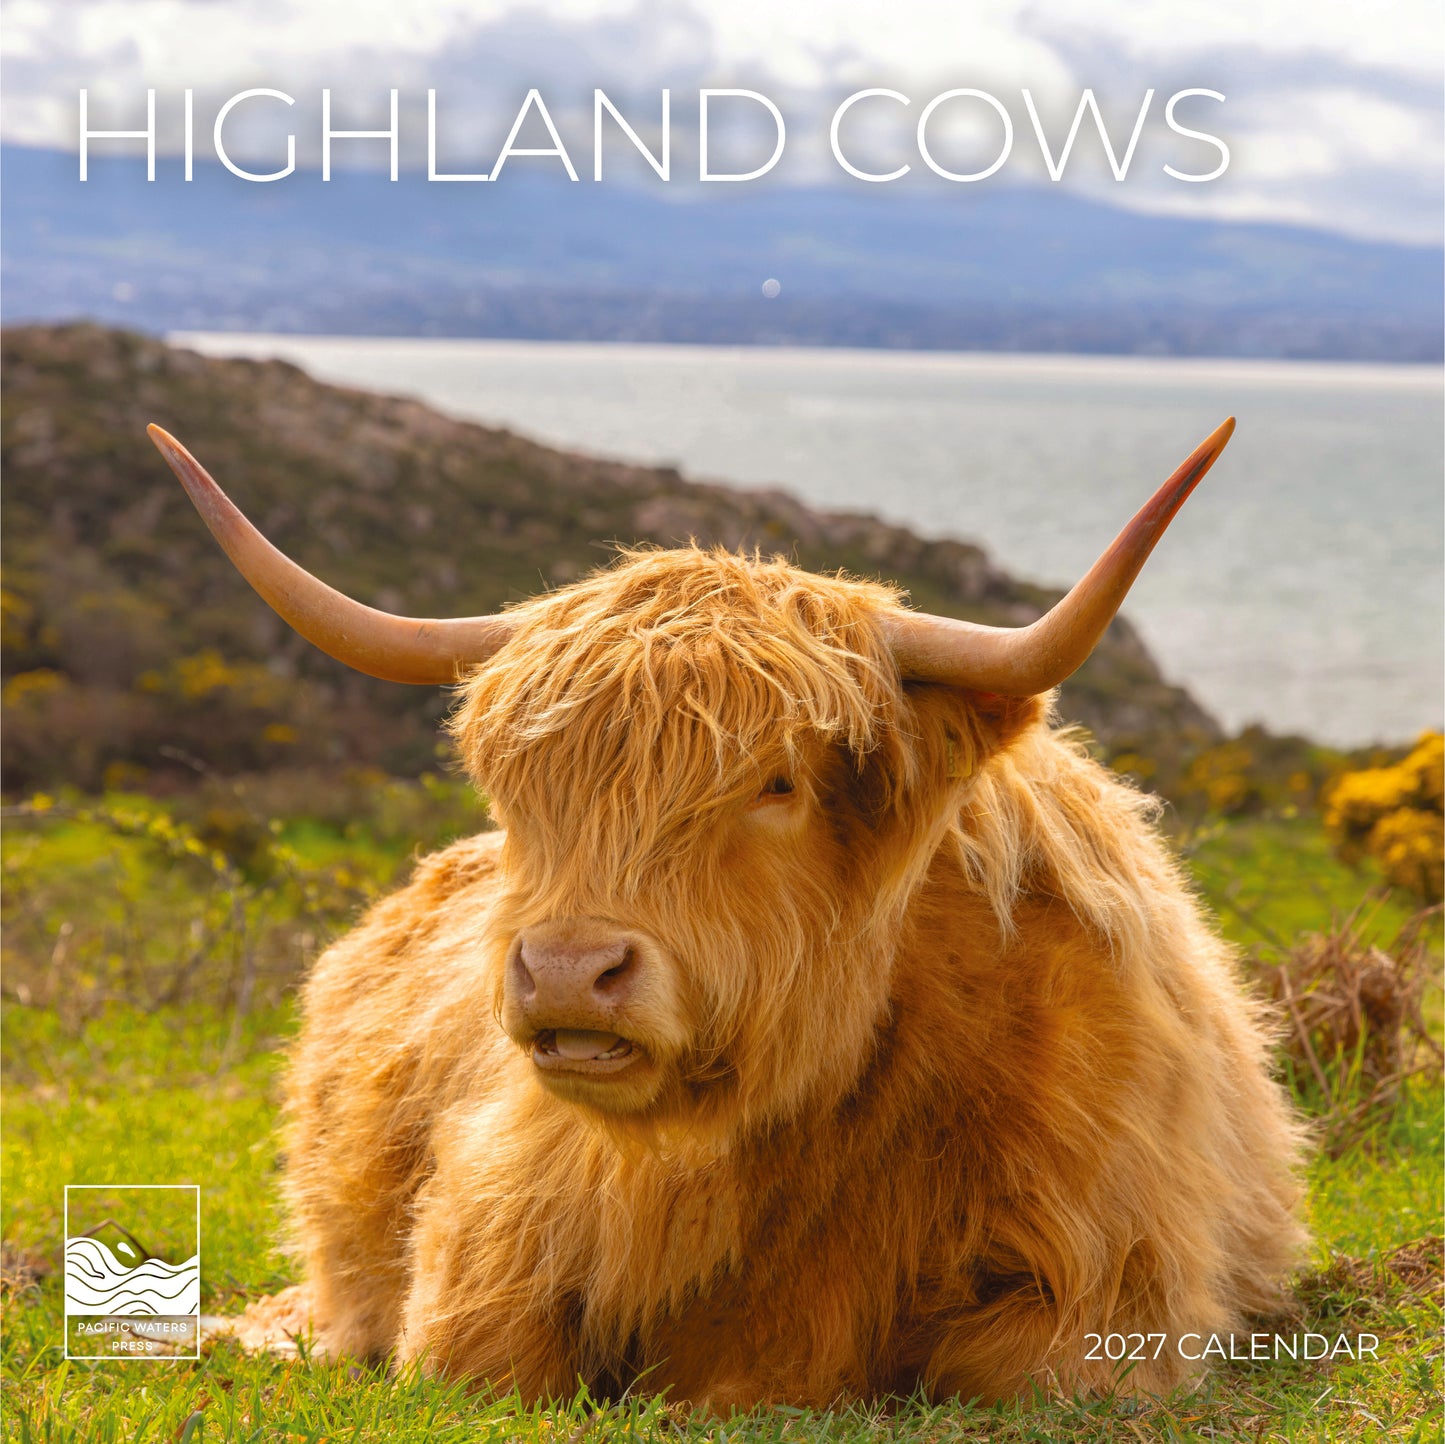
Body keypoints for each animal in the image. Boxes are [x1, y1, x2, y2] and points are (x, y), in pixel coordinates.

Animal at [148, 418, 1304, 1410]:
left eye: (776, 784)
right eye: (517, 788)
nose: (566, 972)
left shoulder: (1114, 1283)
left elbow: (1007, 1368)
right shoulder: (490, 1240)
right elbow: (478, 1354)